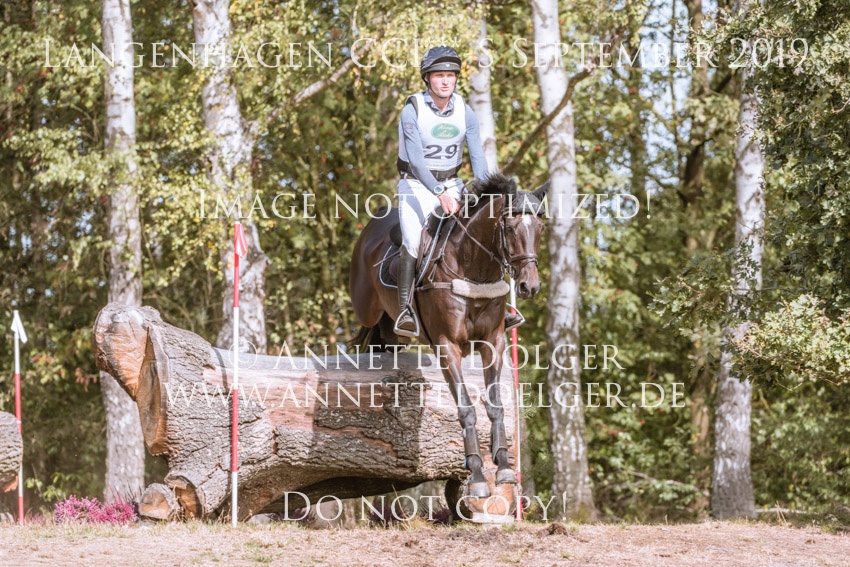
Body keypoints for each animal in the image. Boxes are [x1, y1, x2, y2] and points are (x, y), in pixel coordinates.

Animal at [349, 173, 548, 498]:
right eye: (509, 227)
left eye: (541, 228)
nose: (529, 287)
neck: (474, 268)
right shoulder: (447, 347)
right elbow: (466, 409)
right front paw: (477, 475)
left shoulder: (493, 343)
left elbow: (495, 405)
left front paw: (504, 467)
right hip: (366, 305)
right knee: (370, 327)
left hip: (392, 332)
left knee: (387, 341)